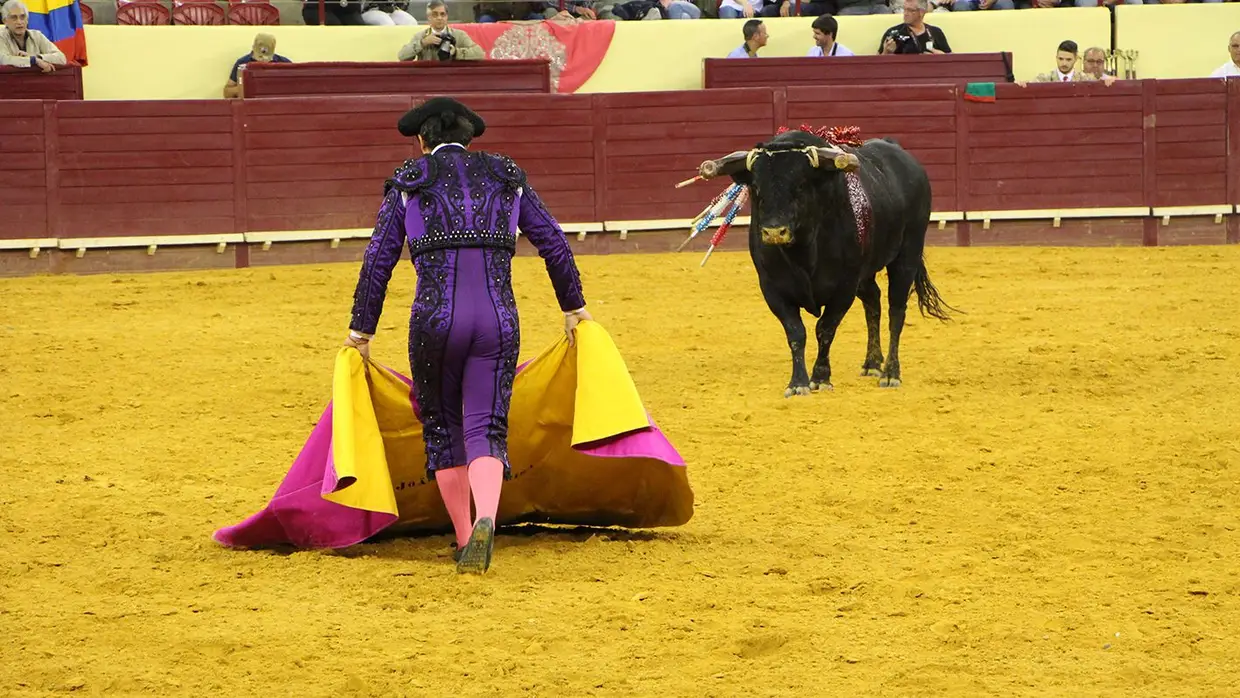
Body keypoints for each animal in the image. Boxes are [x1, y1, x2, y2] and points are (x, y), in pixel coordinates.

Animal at [699, 128, 957, 396]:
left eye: (800, 185)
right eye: (756, 188)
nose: (774, 232)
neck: (802, 251)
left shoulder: (844, 287)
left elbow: (825, 328)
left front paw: (821, 377)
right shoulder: (772, 288)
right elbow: (795, 332)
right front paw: (798, 383)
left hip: (907, 254)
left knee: (896, 310)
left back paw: (890, 373)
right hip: (865, 273)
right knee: (873, 301)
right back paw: (872, 363)